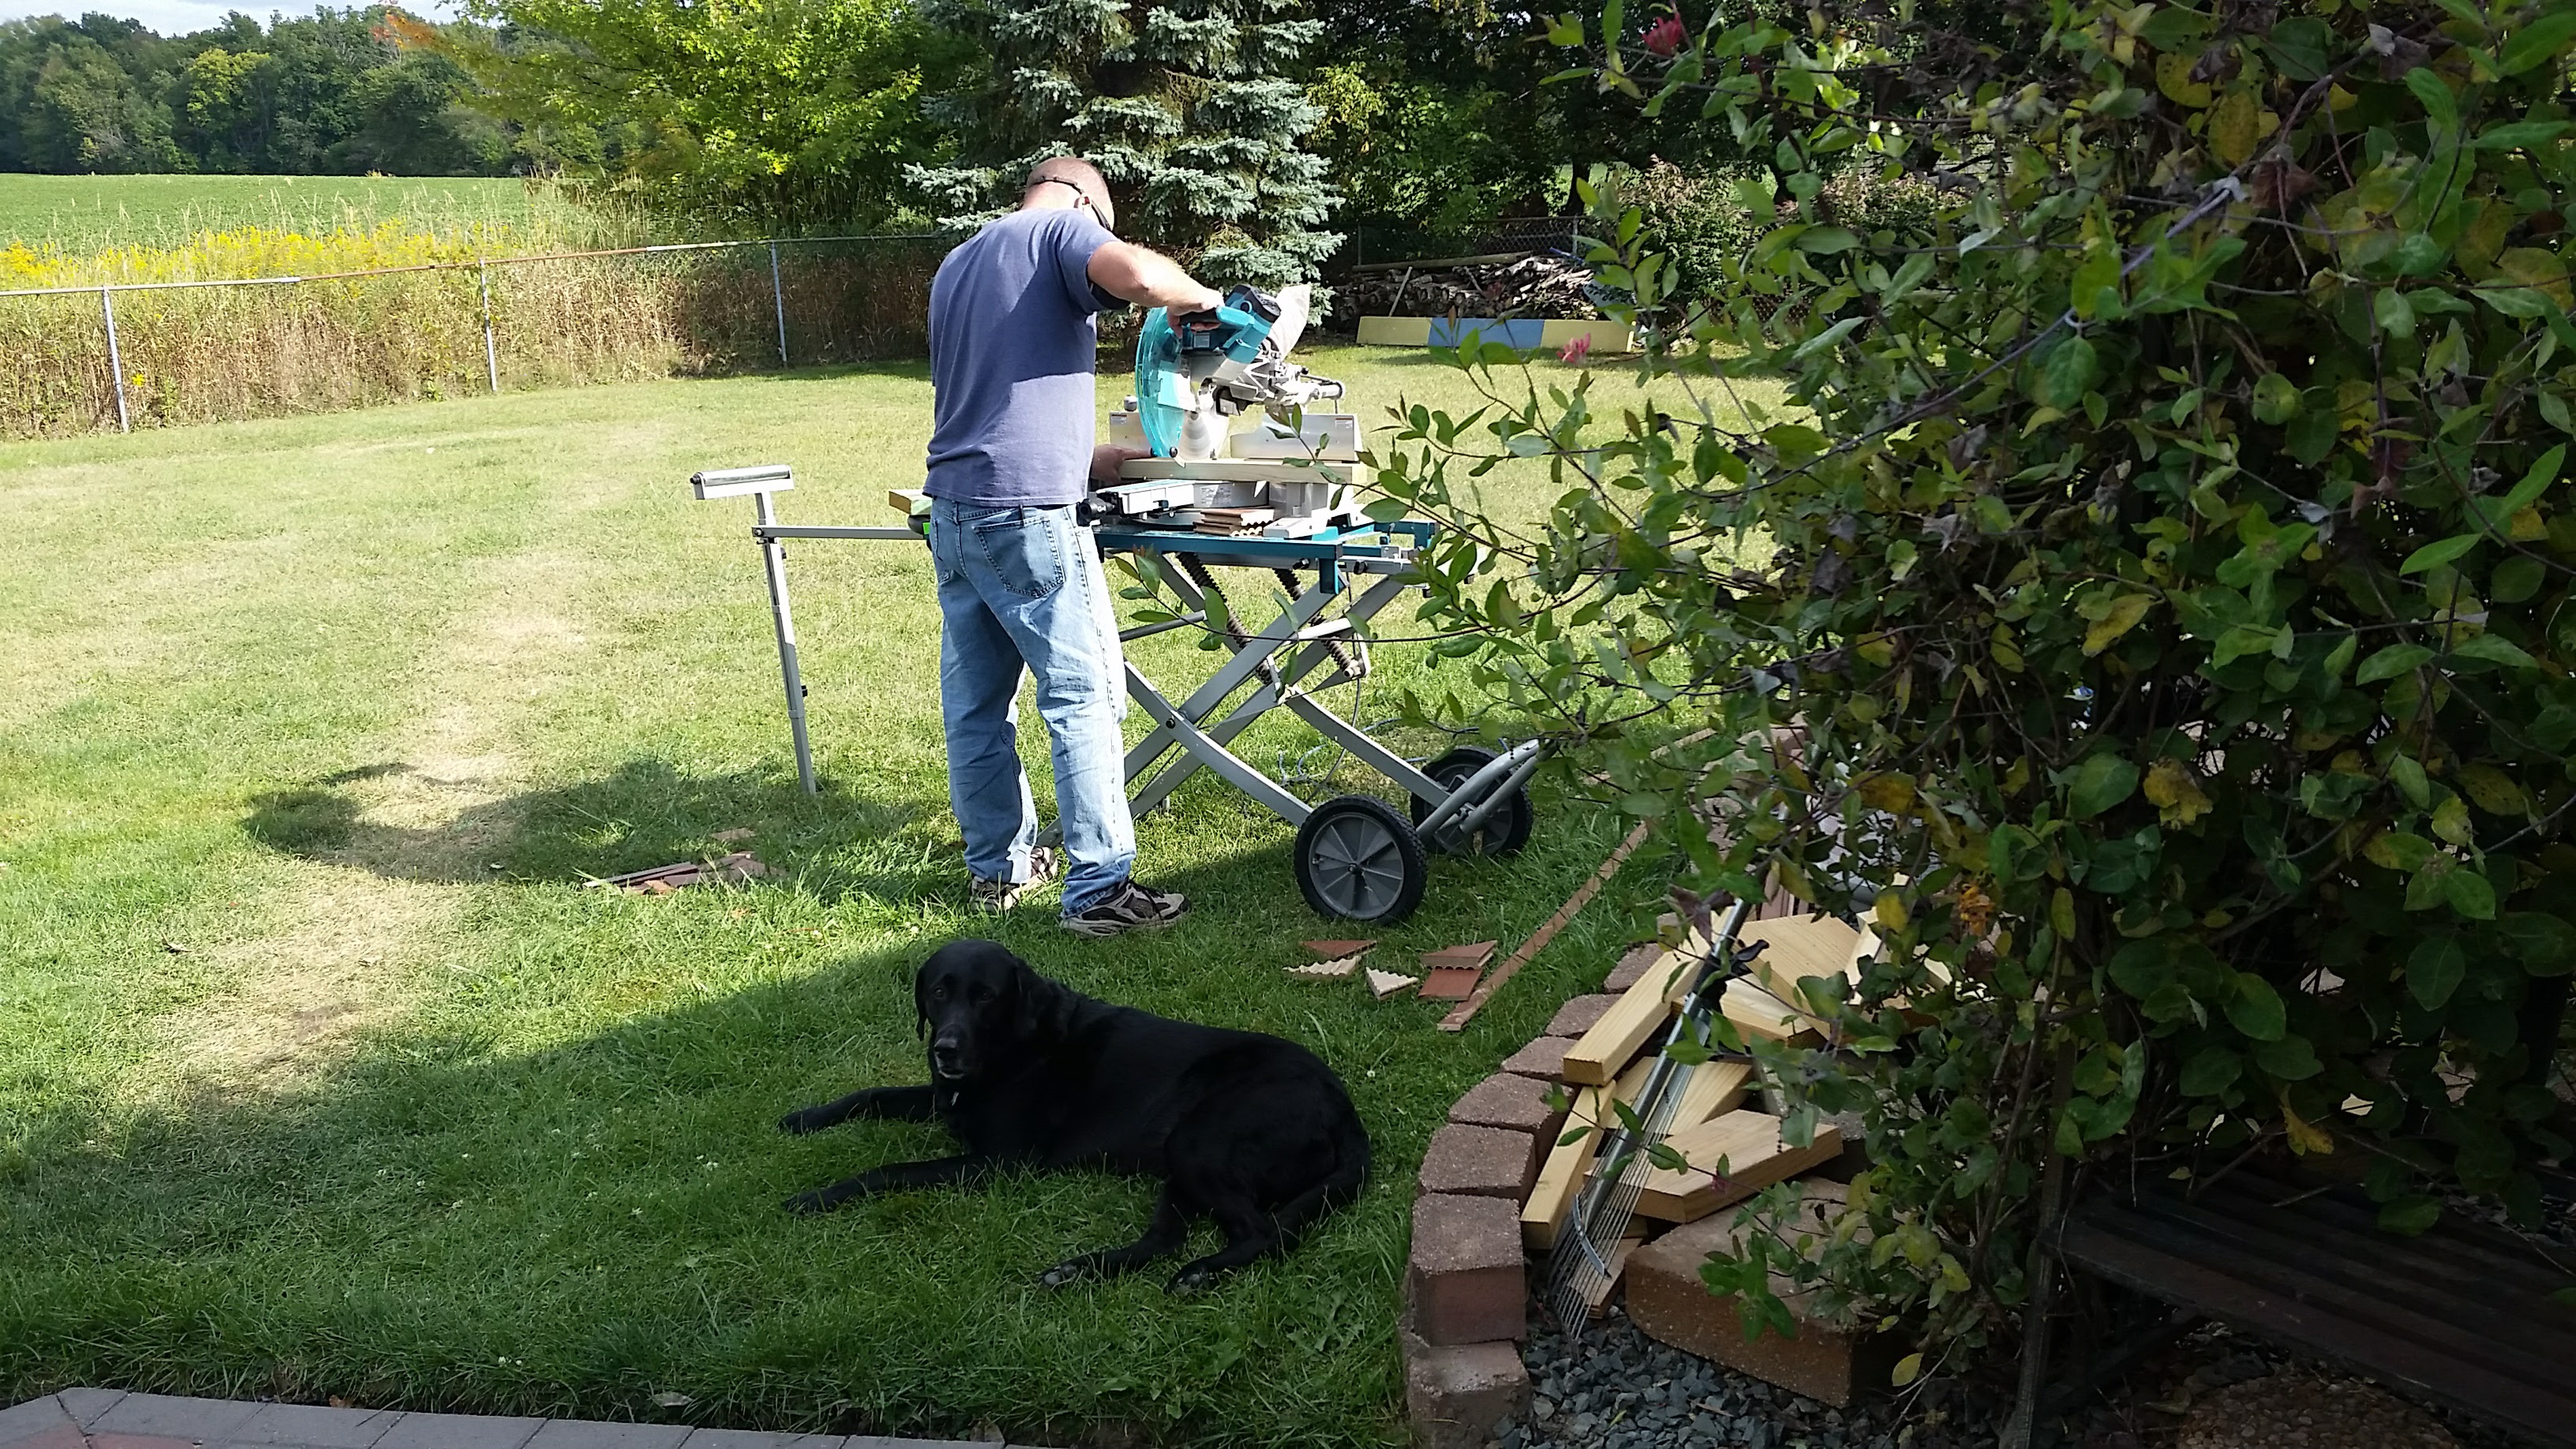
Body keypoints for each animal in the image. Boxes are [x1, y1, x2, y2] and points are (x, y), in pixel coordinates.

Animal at [777, 938, 1370, 1283]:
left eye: (986, 996)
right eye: (939, 992)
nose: (945, 1049)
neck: (1014, 1047)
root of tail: (1344, 1110)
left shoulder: (999, 1162)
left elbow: (890, 1170)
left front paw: (817, 1195)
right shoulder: (944, 1099)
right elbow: (870, 1095)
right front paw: (804, 1119)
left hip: (1198, 1143)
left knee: (1262, 1234)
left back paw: (1200, 1273)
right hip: (1179, 1159)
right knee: (1164, 1240)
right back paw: (1080, 1270)